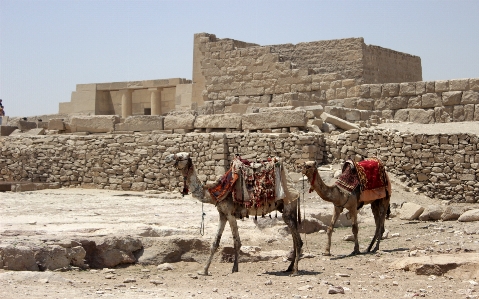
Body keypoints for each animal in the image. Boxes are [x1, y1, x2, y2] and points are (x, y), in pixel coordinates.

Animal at [165, 154, 304, 278]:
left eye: (180, 156)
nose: (167, 158)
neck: (213, 192)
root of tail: (296, 190)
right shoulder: (222, 214)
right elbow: (215, 243)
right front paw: (204, 271)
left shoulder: (230, 214)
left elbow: (237, 242)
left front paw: (234, 269)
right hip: (287, 210)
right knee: (294, 238)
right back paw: (289, 267)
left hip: (288, 207)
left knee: (298, 241)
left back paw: (295, 271)